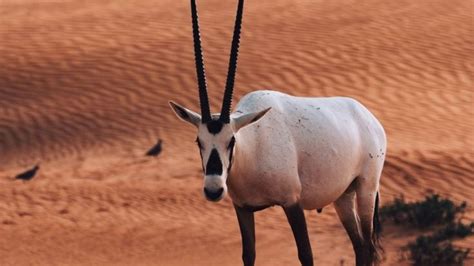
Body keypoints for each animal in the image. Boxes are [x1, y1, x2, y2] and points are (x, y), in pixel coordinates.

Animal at [169, 1, 386, 264]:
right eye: (198, 141)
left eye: (231, 140)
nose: (213, 190)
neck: (253, 146)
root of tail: (369, 118)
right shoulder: (242, 208)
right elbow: (249, 255)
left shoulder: (291, 202)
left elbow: (306, 254)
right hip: (343, 197)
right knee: (360, 247)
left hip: (366, 189)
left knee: (367, 246)